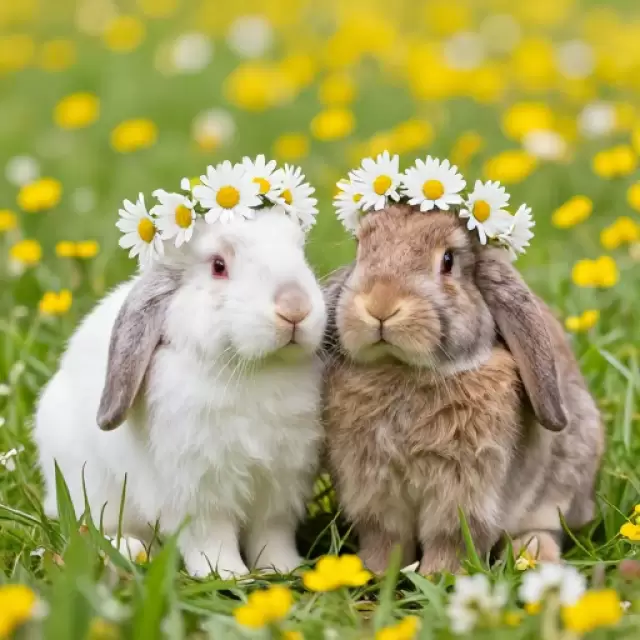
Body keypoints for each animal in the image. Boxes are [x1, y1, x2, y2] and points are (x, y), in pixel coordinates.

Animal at [34, 211, 327, 578]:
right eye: (218, 266)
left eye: (300, 251)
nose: (295, 307)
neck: (257, 370)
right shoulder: (197, 494)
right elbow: (211, 540)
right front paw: (227, 575)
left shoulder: (280, 488)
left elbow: (272, 535)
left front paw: (283, 570)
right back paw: (129, 550)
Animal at [323, 204, 604, 575]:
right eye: (360, 248)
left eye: (448, 261)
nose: (380, 305)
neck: (402, 369)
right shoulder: (373, 493)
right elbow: (385, 538)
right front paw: (375, 574)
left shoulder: (466, 492)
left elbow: (451, 540)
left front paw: (439, 576)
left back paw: (531, 557)